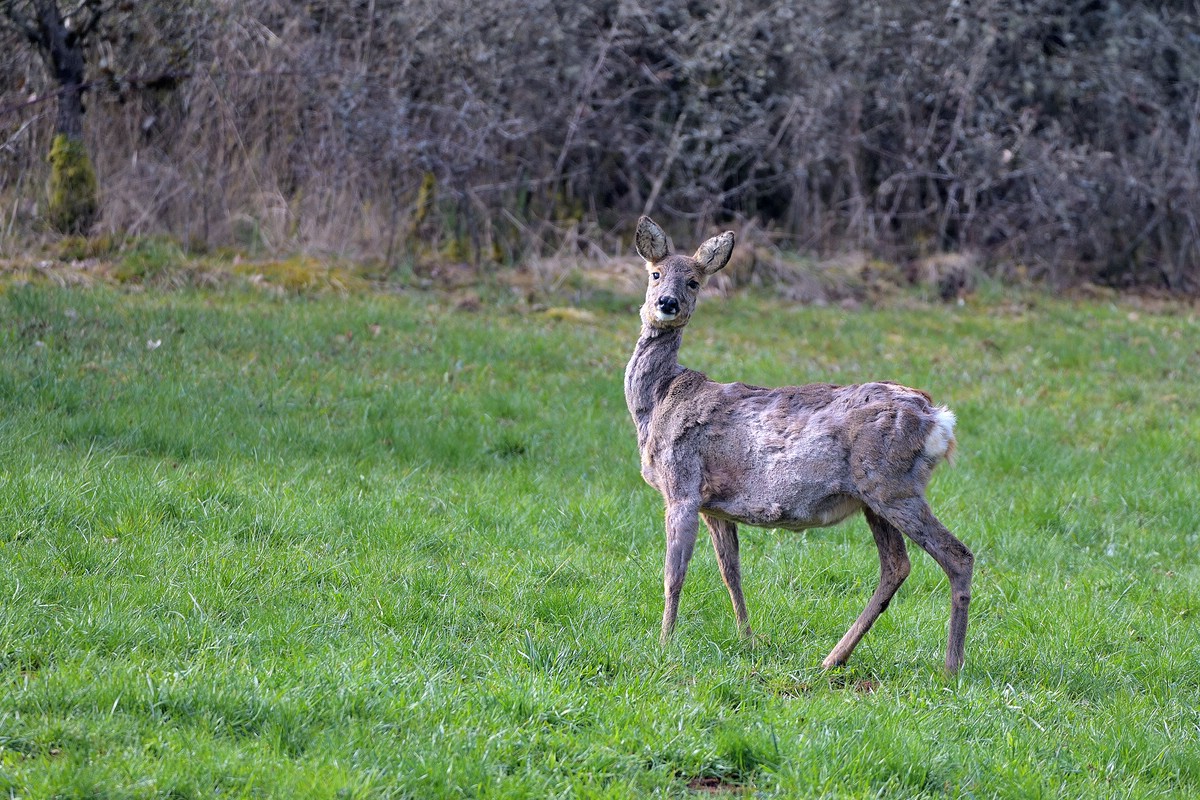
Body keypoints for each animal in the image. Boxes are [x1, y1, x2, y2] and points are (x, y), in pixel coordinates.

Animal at [623, 216, 974, 674]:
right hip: (874, 497)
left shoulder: (680, 487)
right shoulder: (713, 506)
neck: (657, 401)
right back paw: (833, 659)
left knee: (957, 555)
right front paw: (748, 638)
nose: (667, 303)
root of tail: (939, 420)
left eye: (694, 281)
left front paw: (664, 644)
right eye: (655, 273)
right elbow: (730, 572)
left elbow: (673, 574)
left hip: (892, 485)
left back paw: (951, 667)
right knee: (896, 566)